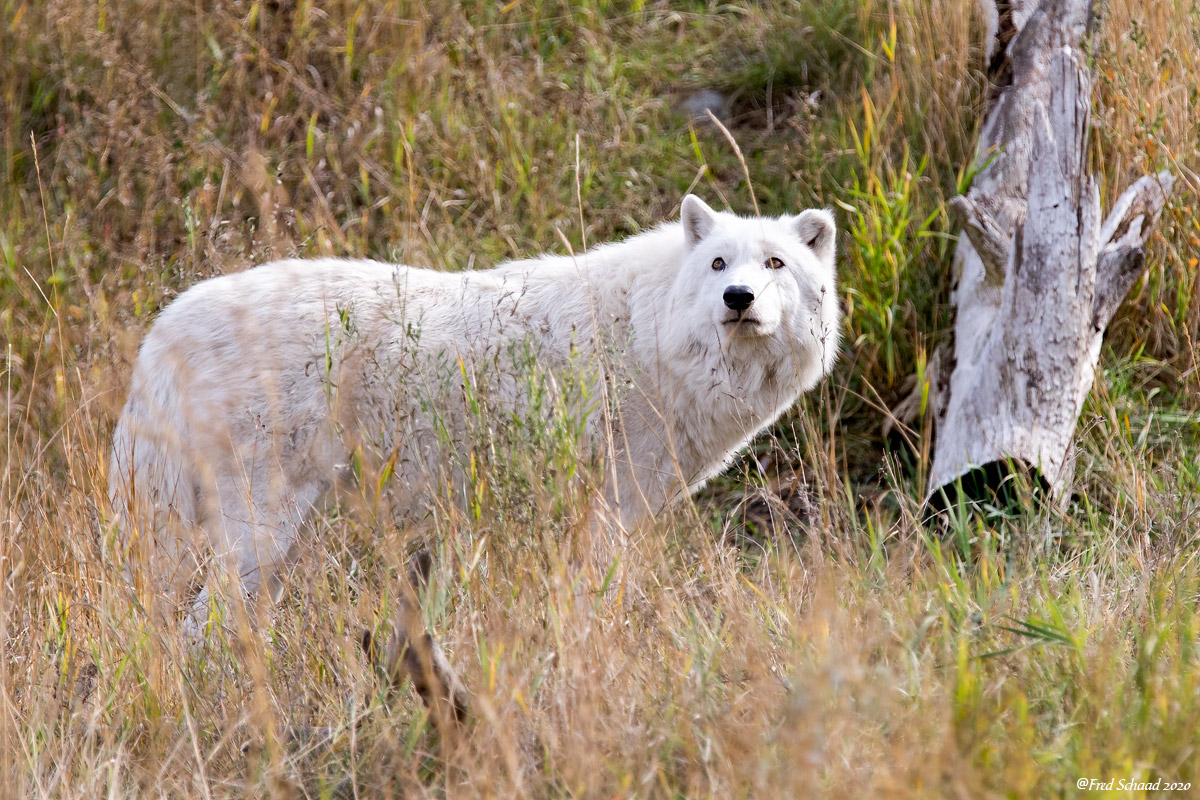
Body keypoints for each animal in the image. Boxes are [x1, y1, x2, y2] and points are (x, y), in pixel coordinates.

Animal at [110, 194, 835, 618]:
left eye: (774, 263)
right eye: (718, 264)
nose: (738, 298)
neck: (650, 330)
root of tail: (164, 327)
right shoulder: (608, 509)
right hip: (261, 529)